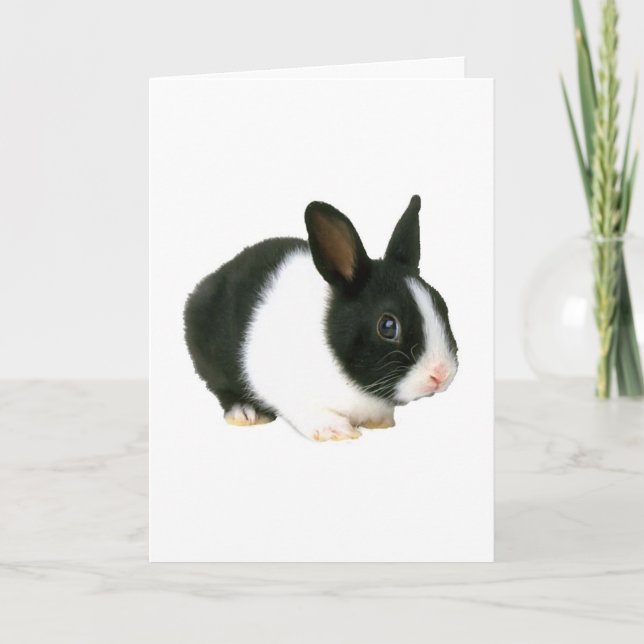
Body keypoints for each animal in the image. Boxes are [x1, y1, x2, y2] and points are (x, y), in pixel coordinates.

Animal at [184, 195, 458, 442]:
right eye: (388, 326)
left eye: (442, 305)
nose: (441, 374)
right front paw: (336, 431)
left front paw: (379, 422)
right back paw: (245, 412)